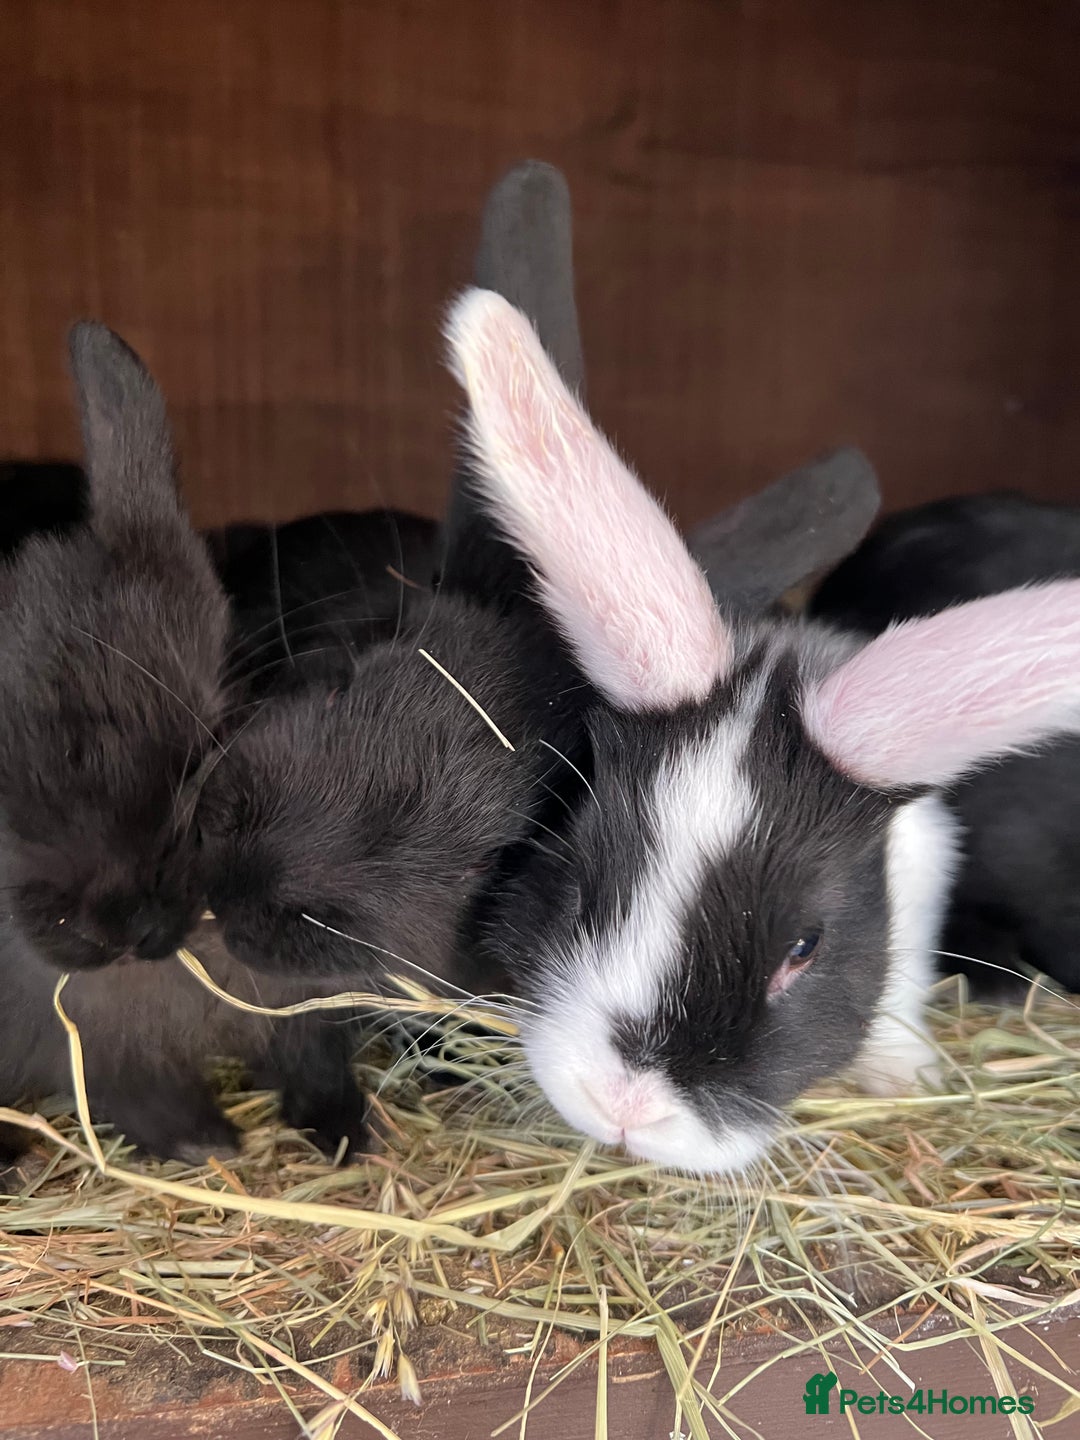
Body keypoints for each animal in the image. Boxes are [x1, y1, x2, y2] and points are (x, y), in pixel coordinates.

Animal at [0, 325, 367, 1166]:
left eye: (205, 745)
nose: (125, 924)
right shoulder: (91, 1051)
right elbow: (139, 1097)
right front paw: (210, 1147)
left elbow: (313, 1053)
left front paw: (342, 1132)